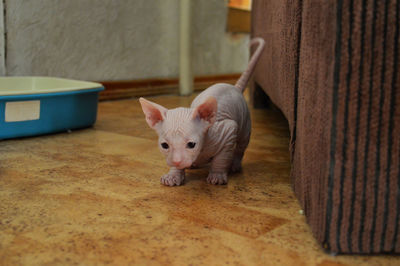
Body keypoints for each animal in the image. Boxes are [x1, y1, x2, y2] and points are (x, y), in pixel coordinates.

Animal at [140, 37, 266, 186]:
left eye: (191, 144)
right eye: (164, 145)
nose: (176, 161)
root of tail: (234, 87)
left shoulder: (227, 132)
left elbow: (222, 157)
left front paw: (217, 175)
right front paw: (173, 175)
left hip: (245, 123)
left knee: (241, 145)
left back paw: (235, 165)